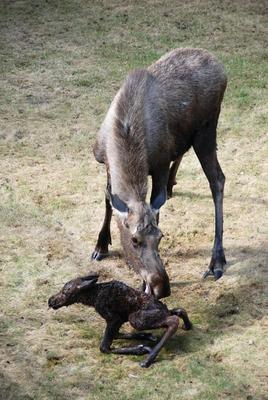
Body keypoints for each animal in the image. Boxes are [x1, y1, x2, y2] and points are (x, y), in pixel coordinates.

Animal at [47, 274, 191, 368]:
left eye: (65, 292)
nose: (51, 300)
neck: (92, 298)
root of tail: (164, 310)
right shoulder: (120, 318)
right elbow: (117, 335)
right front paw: (147, 336)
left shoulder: (113, 318)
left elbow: (104, 347)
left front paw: (141, 348)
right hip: (149, 315)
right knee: (178, 310)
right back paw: (188, 325)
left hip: (136, 319)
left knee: (173, 320)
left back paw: (148, 359)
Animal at [91, 47, 226, 296]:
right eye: (134, 240)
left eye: (160, 237)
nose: (161, 287)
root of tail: (220, 66)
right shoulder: (105, 163)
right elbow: (107, 200)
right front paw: (101, 245)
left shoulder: (160, 164)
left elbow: (156, 206)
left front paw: (143, 285)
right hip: (190, 134)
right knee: (184, 152)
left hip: (206, 128)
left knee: (217, 179)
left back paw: (217, 261)